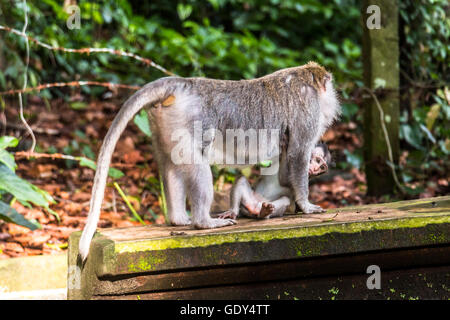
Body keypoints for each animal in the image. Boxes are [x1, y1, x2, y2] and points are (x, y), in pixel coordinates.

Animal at [79, 62, 342, 260]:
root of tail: (183, 83)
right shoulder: (308, 109)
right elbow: (298, 154)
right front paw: (306, 205)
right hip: (187, 124)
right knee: (199, 168)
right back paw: (204, 223)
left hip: (163, 122)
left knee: (170, 166)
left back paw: (179, 219)